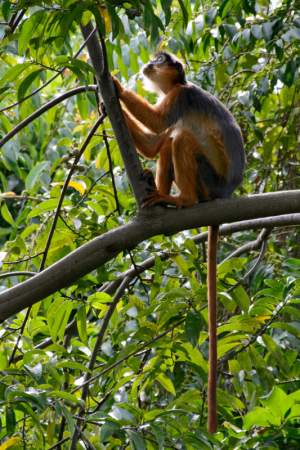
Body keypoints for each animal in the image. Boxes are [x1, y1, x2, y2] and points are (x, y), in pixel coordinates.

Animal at [112, 51, 246, 432]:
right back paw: (160, 197)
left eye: (160, 59)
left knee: (180, 137)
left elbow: (159, 122)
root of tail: (224, 195)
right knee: (169, 141)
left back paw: (182, 200)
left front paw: (112, 85)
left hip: (207, 181)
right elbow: (152, 141)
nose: (148, 64)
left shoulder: (180, 98)